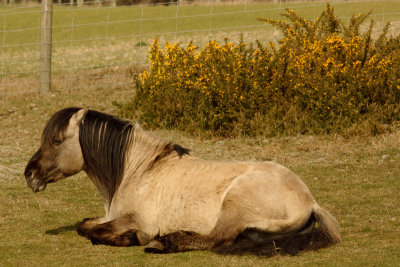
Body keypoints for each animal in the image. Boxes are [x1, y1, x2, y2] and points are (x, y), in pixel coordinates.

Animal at [24, 107, 340, 255]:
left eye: (56, 140)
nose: (29, 174)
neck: (139, 170)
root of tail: (310, 201)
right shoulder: (109, 215)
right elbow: (85, 225)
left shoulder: (137, 219)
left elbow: (94, 232)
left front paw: (133, 238)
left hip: (233, 205)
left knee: (216, 239)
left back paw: (162, 243)